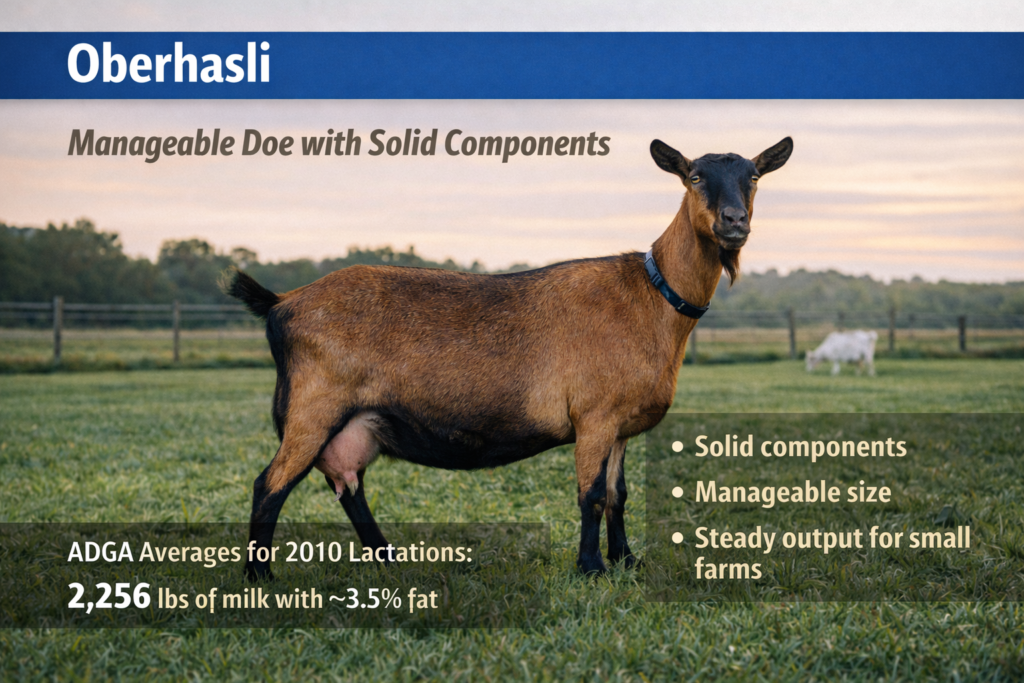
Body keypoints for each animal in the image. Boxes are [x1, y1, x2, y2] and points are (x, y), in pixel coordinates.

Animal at [227, 136, 793, 578]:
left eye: (754, 177)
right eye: (694, 176)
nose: (734, 221)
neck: (651, 296)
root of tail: (281, 304)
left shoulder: (620, 426)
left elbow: (619, 495)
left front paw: (626, 562)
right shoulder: (594, 416)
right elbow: (591, 493)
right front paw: (591, 568)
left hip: (356, 422)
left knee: (347, 484)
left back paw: (387, 559)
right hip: (313, 407)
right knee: (270, 484)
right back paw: (261, 577)